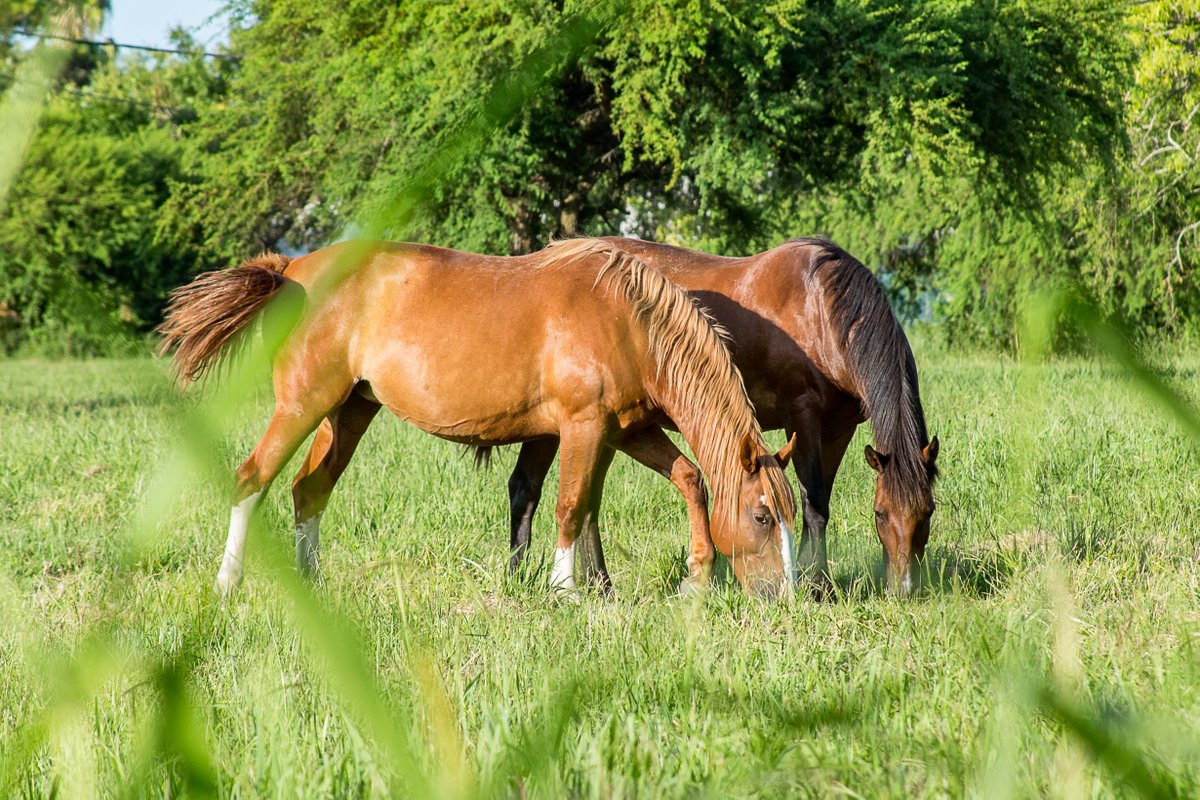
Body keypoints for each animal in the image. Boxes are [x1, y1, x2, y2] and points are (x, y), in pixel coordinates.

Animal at [157, 236, 796, 594]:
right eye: (763, 517)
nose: (789, 596)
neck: (625, 318)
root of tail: (291, 269)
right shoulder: (585, 428)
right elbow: (570, 506)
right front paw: (566, 592)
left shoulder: (626, 430)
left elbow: (688, 478)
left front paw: (697, 576)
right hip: (303, 404)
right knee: (253, 478)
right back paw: (228, 584)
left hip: (349, 411)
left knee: (308, 490)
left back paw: (310, 584)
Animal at [506, 236, 936, 594]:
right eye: (881, 514)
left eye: (928, 512)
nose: (904, 590)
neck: (822, 312)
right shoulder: (803, 418)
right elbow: (813, 504)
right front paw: (819, 587)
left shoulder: (839, 427)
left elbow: (822, 503)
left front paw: (818, 581)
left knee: (577, 499)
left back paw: (596, 584)